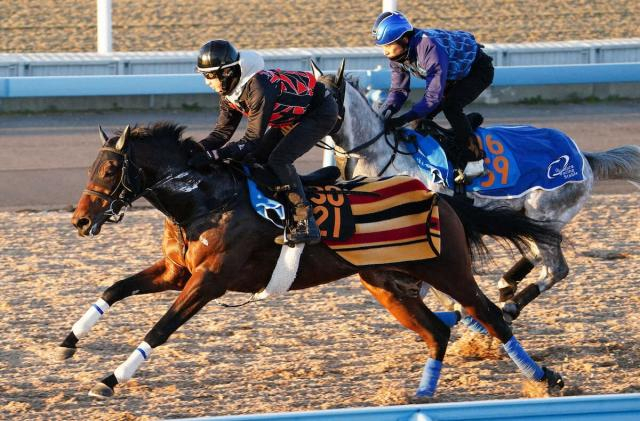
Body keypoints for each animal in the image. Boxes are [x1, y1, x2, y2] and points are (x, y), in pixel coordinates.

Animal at [57, 121, 564, 399]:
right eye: (91, 168)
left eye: (109, 169)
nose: (81, 220)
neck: (204, 199)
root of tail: (441, 197)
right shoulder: (177, 271)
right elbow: (114, 288)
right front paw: (67, 342)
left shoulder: (209, 280)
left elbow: (160, 329)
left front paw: (109, 378)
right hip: (385, 283)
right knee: (437, 331)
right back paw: (423, 391)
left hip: (448, 271)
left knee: (491, 314)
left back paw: (546, 377)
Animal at [313, 61, 640, 322]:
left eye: (325, 98)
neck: (382, 154)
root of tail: (584, 158)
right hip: (533, 217)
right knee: (536, 251)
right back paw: (506, 285)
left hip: (545, 213)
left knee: (555, 268)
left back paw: (511, 305)